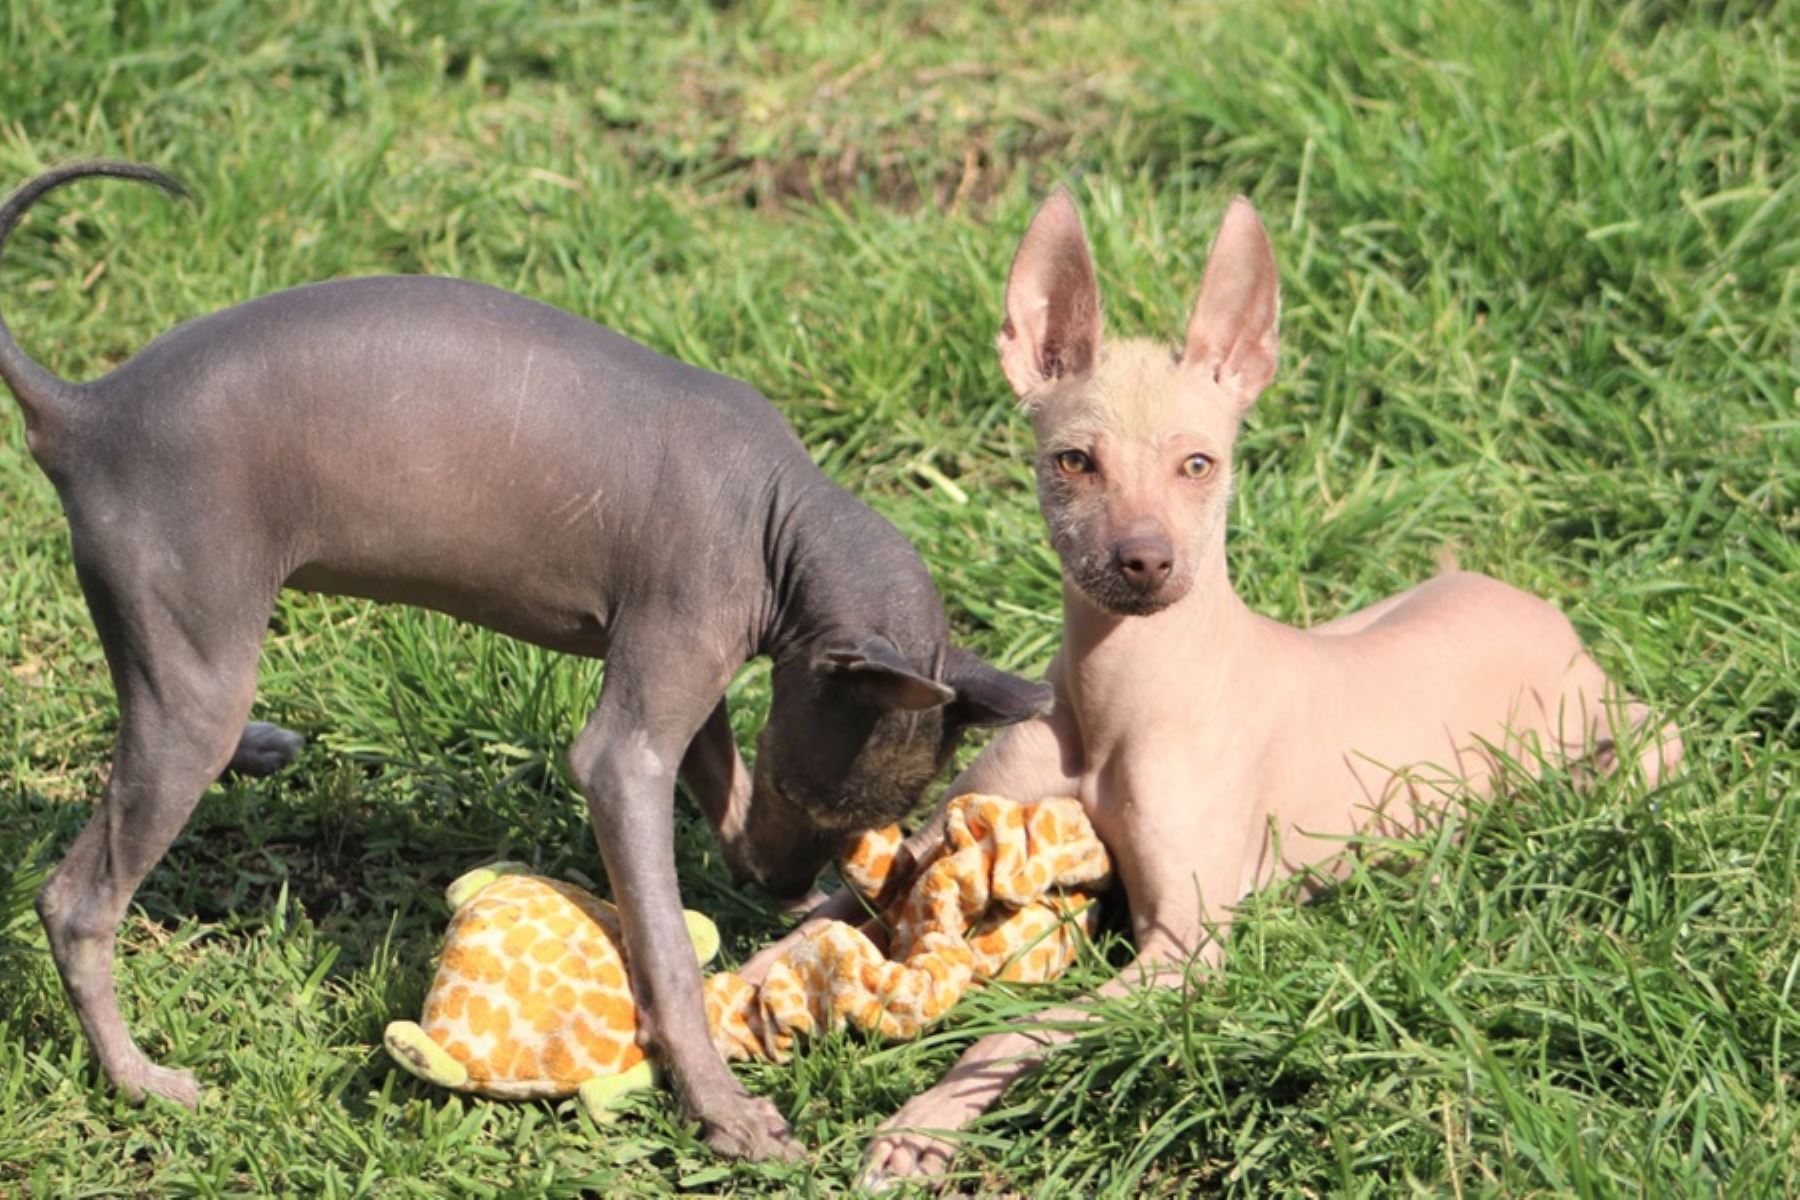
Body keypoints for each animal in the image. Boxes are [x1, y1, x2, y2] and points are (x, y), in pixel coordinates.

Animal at [0, 164, 1051, 1158]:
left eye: (859, 819)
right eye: (811, 796)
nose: (789, 885)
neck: (779, 519)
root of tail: (88, 409)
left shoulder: (690, 671)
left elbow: (719, 789)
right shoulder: (643, 720)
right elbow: (665, 942)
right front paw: (719, 1106)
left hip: (183, 665)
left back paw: (259, 750)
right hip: (189, 673)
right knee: (75, 903)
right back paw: (137, 1080)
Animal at [756, 189, 1670, 1180]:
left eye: (1200, 465)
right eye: (1074, 461)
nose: (1145, 561)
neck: (1125, 695)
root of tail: (1539, 607)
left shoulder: (1184, 949)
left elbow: (1010, 1034)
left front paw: (921, 1126)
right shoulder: (931, 841)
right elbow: (811, 926)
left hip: (1606, 726)